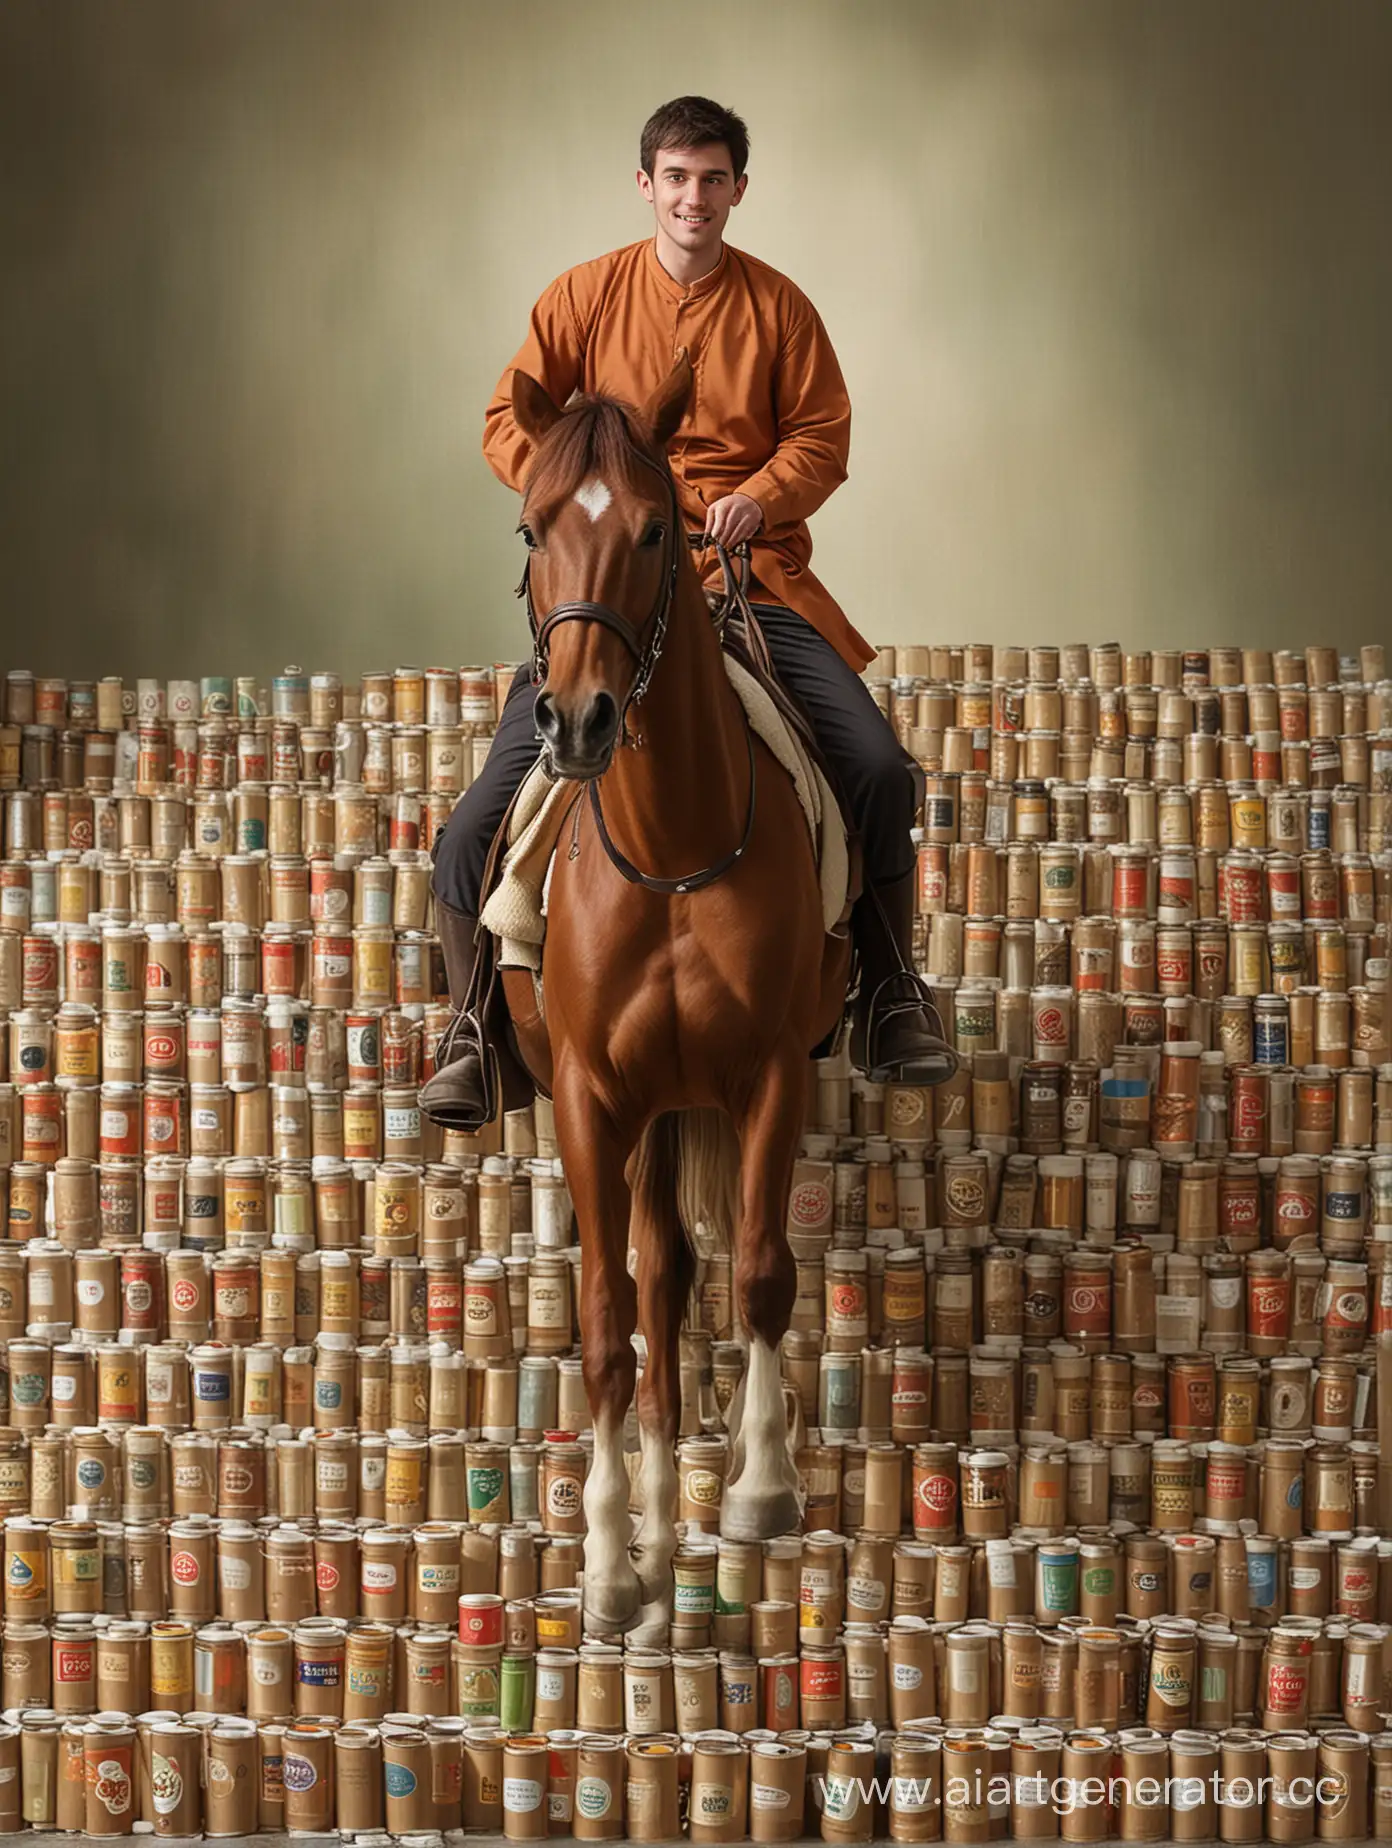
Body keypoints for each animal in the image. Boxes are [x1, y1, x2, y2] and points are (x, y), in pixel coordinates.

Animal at [499, 352, 846, 1641]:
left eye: (657, 531)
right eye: (532, 527)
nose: (577, 720)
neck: (671, 846)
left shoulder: (768, 1077)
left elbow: (762, 1274)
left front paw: (761, 1492)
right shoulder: (592, 1101)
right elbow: (605, 1324)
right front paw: (606, 1569)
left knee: (691, 1275)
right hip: (644, 1114)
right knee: (652, 1292)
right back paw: (649, 1554)